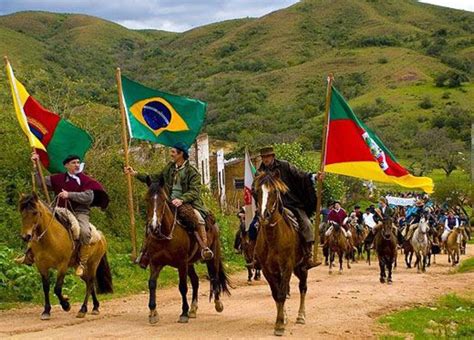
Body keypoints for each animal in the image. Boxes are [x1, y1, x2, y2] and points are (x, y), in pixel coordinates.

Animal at [143, 178, 231, 324]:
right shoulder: (155, 263)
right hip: (190, 263)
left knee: (214, 276)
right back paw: (193, 309)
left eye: (163, 200)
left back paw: (218, 304)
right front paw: (153, 312)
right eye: (146, 199)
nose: (154, 226)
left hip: (212, 257)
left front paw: (183, 312)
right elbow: (152, 284)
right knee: (195, 281)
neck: (166, 235)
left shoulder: (181, 263)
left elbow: (183, 287)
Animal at [254, 171, 310, 336]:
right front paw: (281, 319)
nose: (264, 215)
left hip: (301, 267)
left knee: (303, 287)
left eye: (274, 191)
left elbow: (282, 292)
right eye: (257, 192)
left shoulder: (287, 267)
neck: (273, 237)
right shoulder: (267, 269)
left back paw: (301, 316)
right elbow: (276, 293)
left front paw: (279, 326)